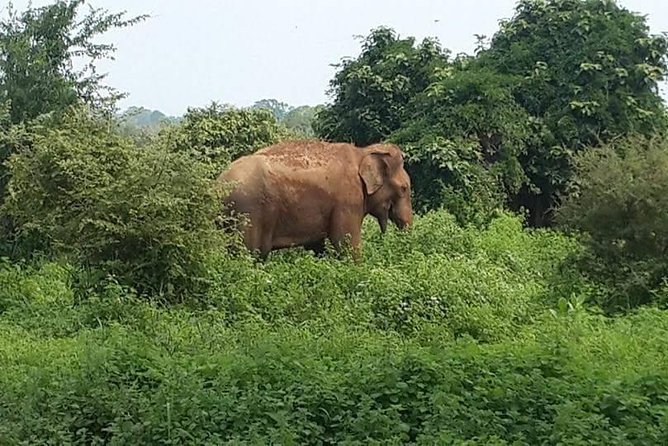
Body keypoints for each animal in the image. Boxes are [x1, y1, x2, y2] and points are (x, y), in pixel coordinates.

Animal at [217, 139, 412, 258]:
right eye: (404, 188)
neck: (363, 152)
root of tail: (218, 184)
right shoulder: (348, 199)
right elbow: (345, 242)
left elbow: (317, 246)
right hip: (248, 214)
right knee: (251, 254)